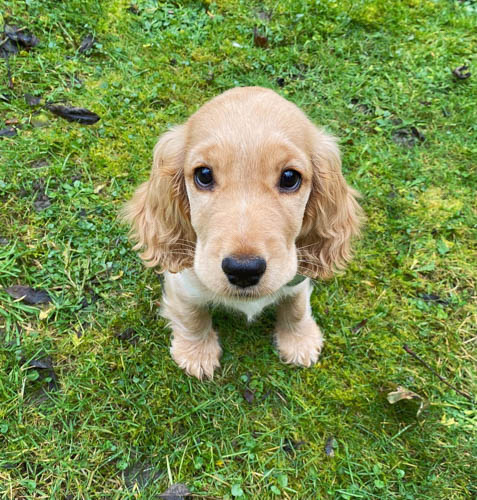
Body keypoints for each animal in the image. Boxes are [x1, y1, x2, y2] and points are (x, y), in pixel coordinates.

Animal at [122, 88, 360, 380]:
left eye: (290, 177)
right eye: (204, 174)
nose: (244, 270)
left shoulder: (296, 275)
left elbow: (296, 306)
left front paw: (299, 340)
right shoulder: (185, 280)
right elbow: (191, 313)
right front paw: (196, 353)